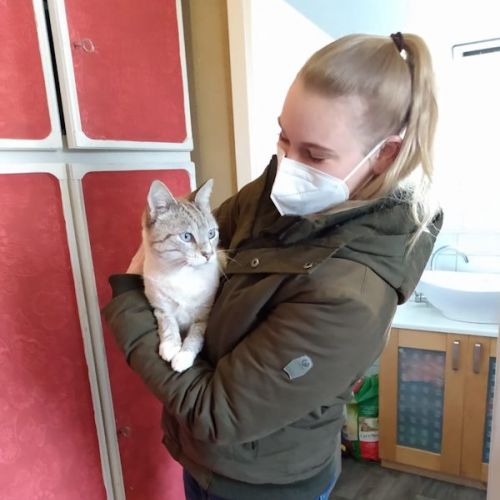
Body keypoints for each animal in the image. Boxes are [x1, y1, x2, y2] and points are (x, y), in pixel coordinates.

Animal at [141, 179, 224, 373]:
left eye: (211, 234)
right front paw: (171, 347)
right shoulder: (161, 308)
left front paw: (183, 356)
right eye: (186, 237)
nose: (208, 254)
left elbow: (195, 336)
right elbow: (168, 325)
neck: (182, 273)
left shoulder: (204, 316)